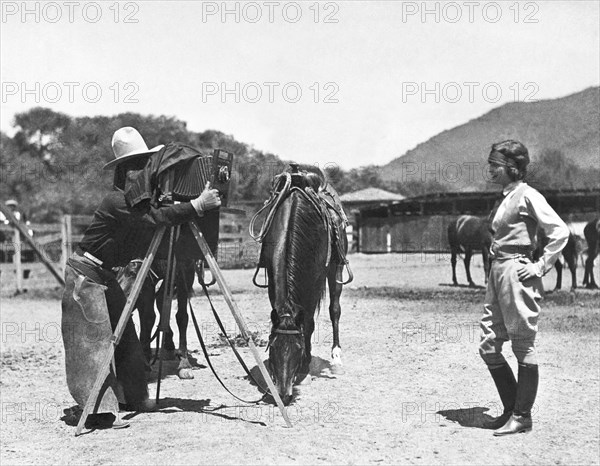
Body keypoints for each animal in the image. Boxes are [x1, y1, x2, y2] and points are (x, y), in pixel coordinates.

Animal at [250, 165, 352, 404]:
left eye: (297, 349)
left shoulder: (314, 281)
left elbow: (309, 323)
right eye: (272, 348)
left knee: (335, 310)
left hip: (336, 269)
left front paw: (305, 368)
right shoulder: (272, 279)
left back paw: (336, 357)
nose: (283, 394)